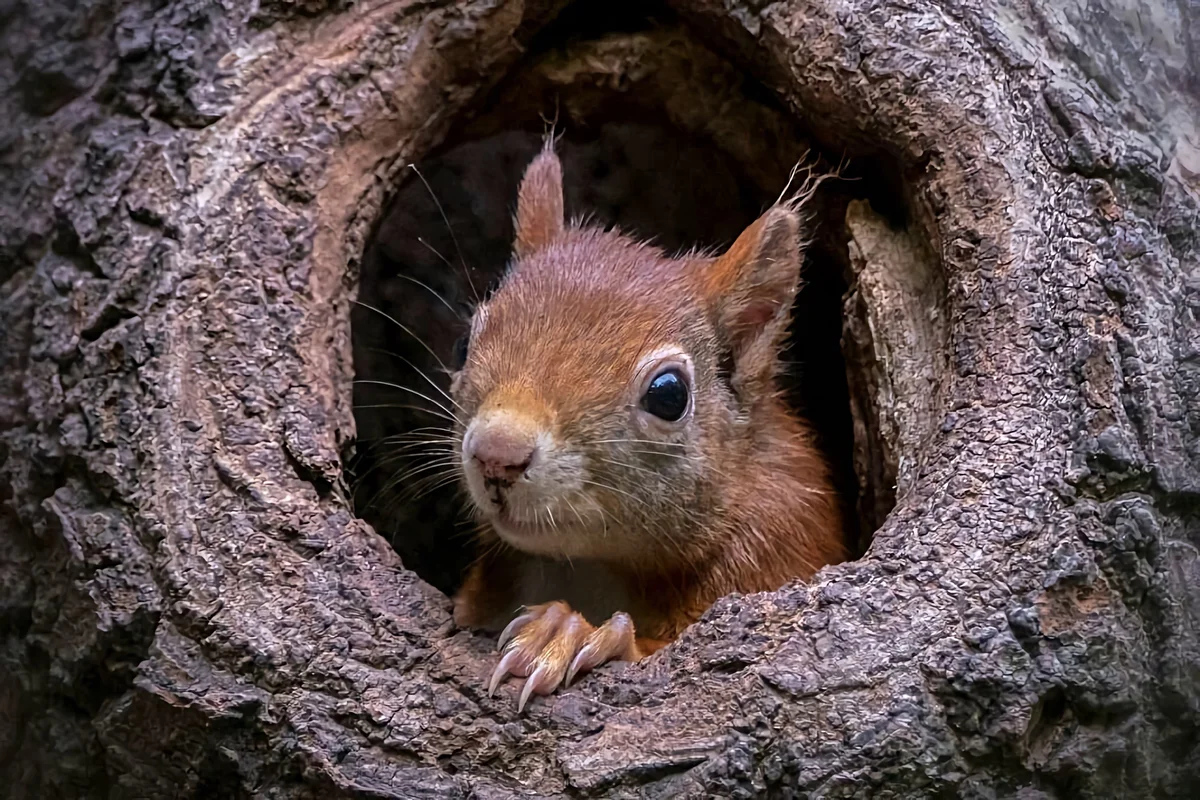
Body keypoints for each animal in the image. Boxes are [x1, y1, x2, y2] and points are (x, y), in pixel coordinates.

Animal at [446, 140, 849, 710]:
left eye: (669, 395)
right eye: (463, 345)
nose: (497, 453)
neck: (591, 566)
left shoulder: (782, 543)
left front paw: (566, 634)